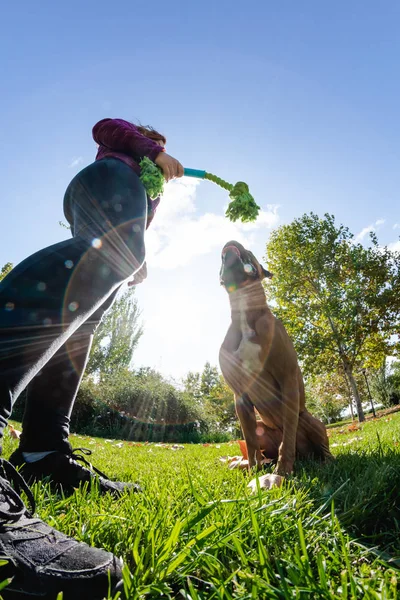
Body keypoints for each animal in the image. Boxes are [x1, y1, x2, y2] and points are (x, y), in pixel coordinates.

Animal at [217, 241, 332, 486]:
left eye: (251, 251)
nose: (232, 240)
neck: (245, 311)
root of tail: (305, 457)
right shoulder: (240, 396)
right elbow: (251, 443)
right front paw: (253, 470)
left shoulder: (287, 380)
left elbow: (286, 440)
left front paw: (283, 472)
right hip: (262, 425)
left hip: (311, 419)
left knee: (321, 449)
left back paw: (327, 463)